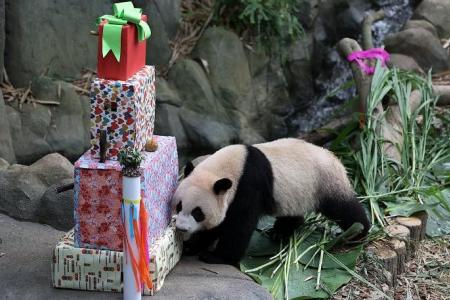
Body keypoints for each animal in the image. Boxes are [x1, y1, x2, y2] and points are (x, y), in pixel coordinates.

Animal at [172, 137, 370, 266]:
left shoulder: (248, 186)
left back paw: (359, 233)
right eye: (179, 206)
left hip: (325, 181)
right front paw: (191, 246)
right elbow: (218, 225)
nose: (181, 228)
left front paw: (216, 257)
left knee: (344, 209)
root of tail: (335, 157)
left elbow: (238, 226)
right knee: (292, 212)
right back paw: (281, 232)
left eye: (198, 213)